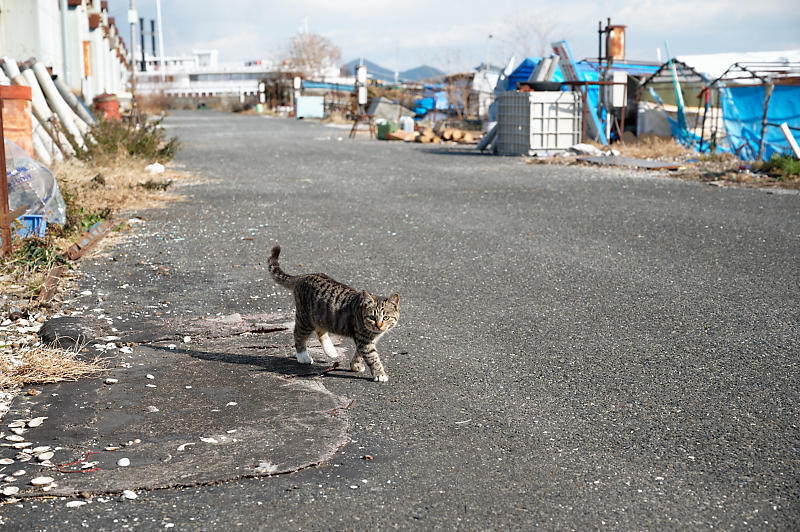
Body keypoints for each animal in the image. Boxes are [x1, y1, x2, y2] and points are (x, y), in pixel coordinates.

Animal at [268, 245, 400, 382]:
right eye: (372, 317)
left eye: (386, 317)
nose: (379, 325)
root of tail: (303, 276)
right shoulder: (364, 339)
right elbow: (372, 358)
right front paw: (380, 374)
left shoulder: (364, 339)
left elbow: (358, 353)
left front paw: (355, 365)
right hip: (305, 319)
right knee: (298, 334)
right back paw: (303, 356)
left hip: (321, 316)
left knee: (320, 330)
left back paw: (330, 351)